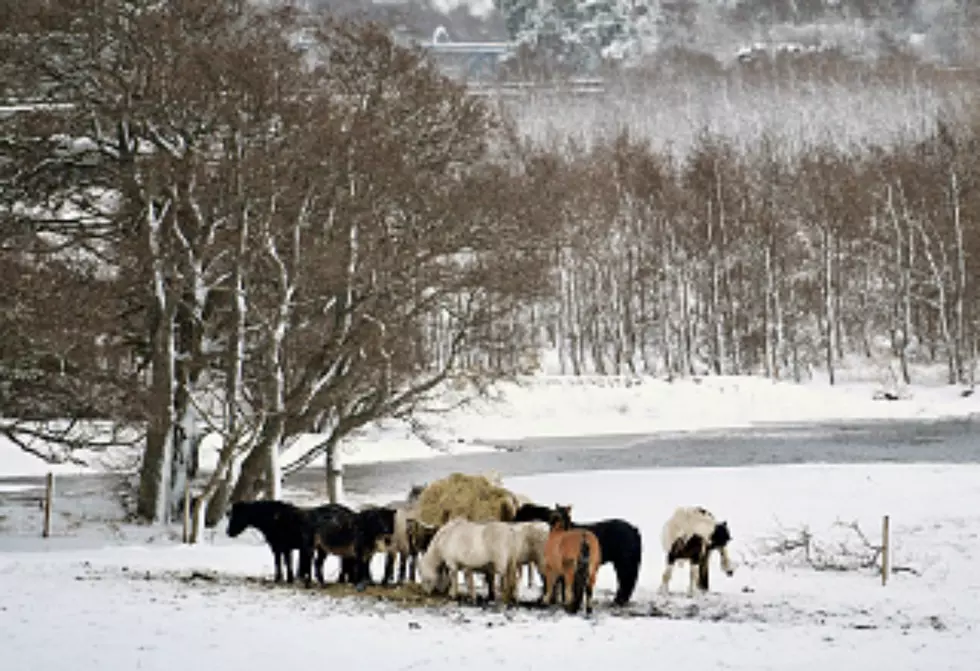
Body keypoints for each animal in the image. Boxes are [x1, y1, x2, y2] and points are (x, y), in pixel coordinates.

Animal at [512, 502, 644, 608]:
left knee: (627, 581)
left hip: (625, 563)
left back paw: (618, 601)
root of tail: (634, 530)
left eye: (521, 514)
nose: (511, 522)